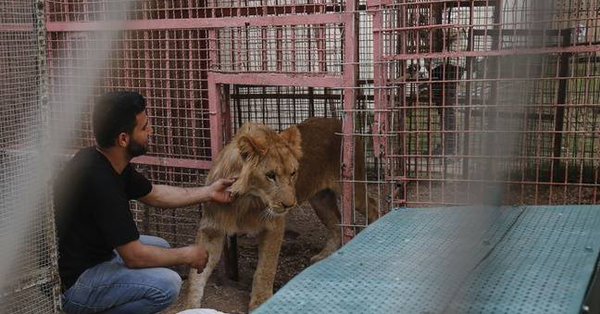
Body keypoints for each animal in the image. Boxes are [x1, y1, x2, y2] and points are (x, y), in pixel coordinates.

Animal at [185, 118, 378, 312]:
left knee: (373, 205)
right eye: (270, 175)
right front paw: (187, 305)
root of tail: (338, 121)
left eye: (293, 173)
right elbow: (195, 276)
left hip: (352, 189)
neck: (245, 200)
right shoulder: (212, 227)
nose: (290, 204)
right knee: (336, 224)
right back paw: (325, 255)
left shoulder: (274, 225)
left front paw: (260, 301)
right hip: (320, 201)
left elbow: (266, 267)